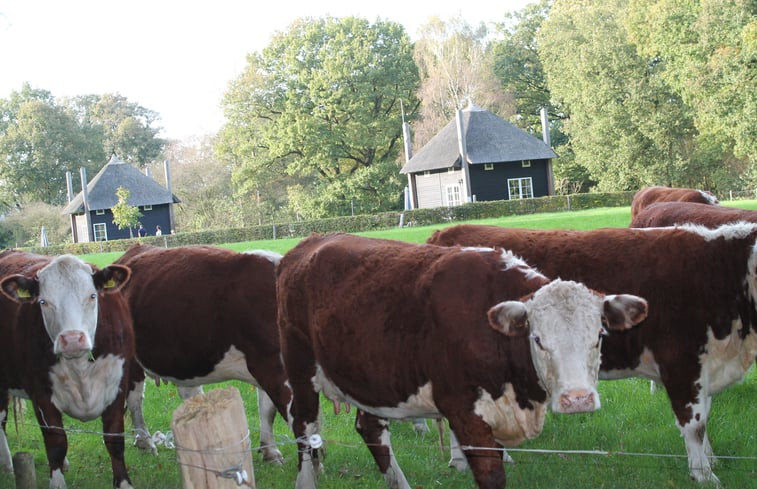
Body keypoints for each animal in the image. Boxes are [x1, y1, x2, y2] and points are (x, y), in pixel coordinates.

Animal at [0, 252, 133, 488]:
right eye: (43, 302)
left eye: (92, 296)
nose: (71, 339)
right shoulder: (41, 394)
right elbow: (56, 442)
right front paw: (57, 482)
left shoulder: (118, 386)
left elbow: (115, 440)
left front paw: (124, 483)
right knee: (1, 420)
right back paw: (7, 463)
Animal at [115, 243, 292, 462]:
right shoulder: (273, 367)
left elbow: (268, 409)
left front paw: (270, 451)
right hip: (130, 359)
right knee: (135, 398)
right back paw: (145, 442)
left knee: (189, 393)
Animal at [276, 234, 644, 488]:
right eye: (538, 339)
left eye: (599, 335)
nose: (577, 399)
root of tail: (309, 243)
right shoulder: (464, 412)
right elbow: (491, 475)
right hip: (301, 369)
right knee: (304, 427)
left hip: (369, 380)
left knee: (371, 430)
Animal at [428, 223, 756, 482]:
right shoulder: (682, 363)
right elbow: (695, 424)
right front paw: (704, 475)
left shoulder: (705, 367)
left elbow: (705, 416)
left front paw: (712, 461)